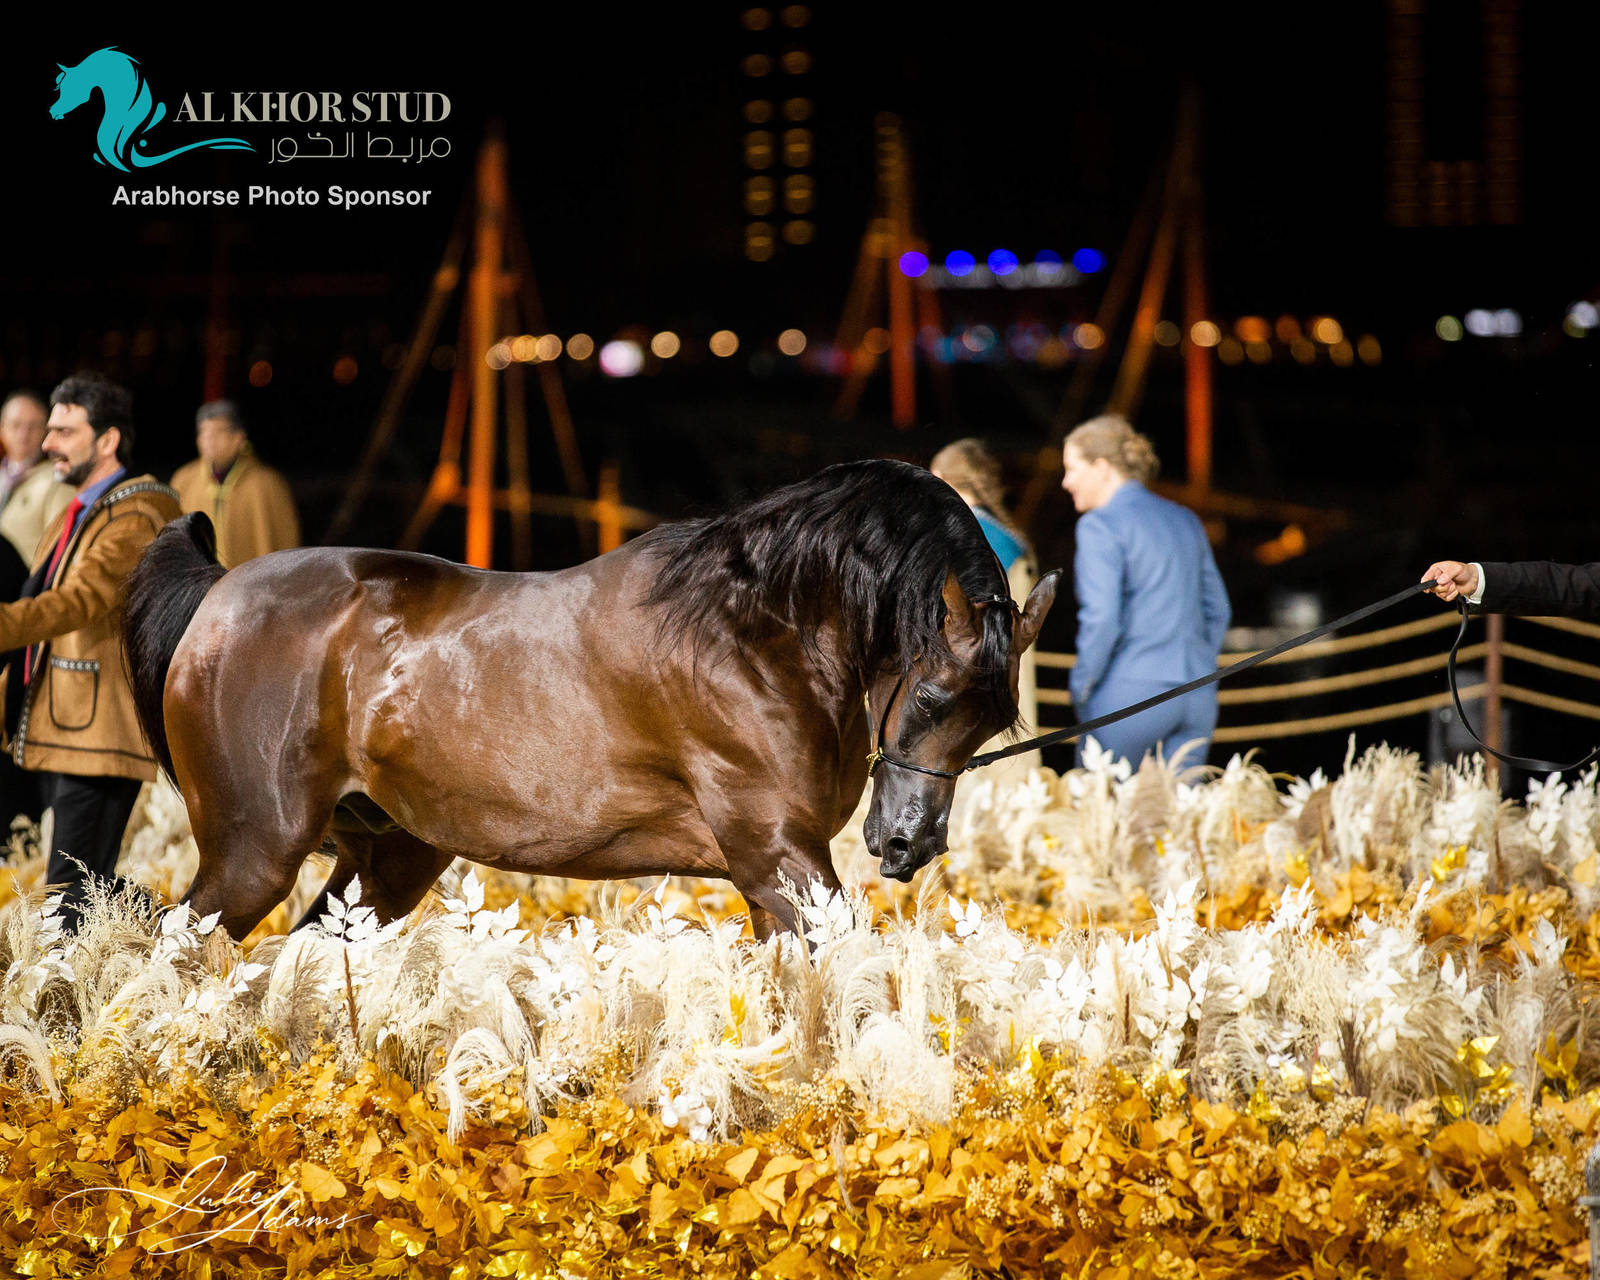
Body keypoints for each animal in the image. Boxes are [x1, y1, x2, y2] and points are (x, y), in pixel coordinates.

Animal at [122, 459, 1059, 942]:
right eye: (932, 696)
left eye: (992, 720)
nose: (908, 843)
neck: (754, 632)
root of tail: (218, 594)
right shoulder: (776, 856)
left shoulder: (768, 880)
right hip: (256, 851)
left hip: (391, 856)